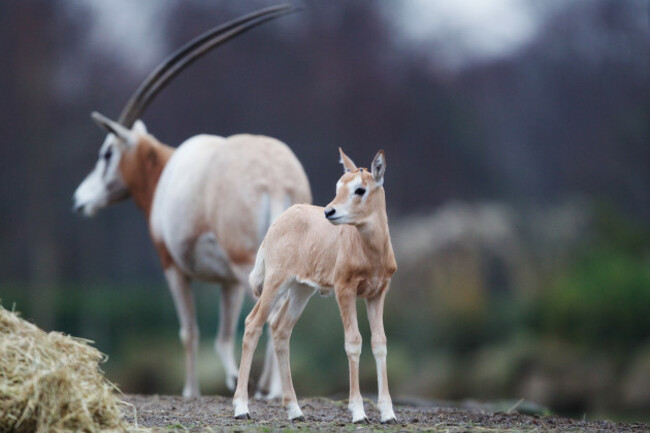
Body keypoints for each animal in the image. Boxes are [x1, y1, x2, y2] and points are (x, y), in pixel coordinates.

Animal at [233, 148, 394, 422]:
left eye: (360, 189)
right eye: (339, 186)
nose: (330, 212)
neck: (370, 252)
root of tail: (276, 224)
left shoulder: (378, 292)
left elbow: (379, 343)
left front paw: (388, 413)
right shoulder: (344, 289)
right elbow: (353, 341)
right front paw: (358, 412)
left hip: (301, 289)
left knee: (280, 329)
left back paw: (295, 410)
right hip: (276, 281)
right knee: (253, 323)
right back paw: (241, 407)